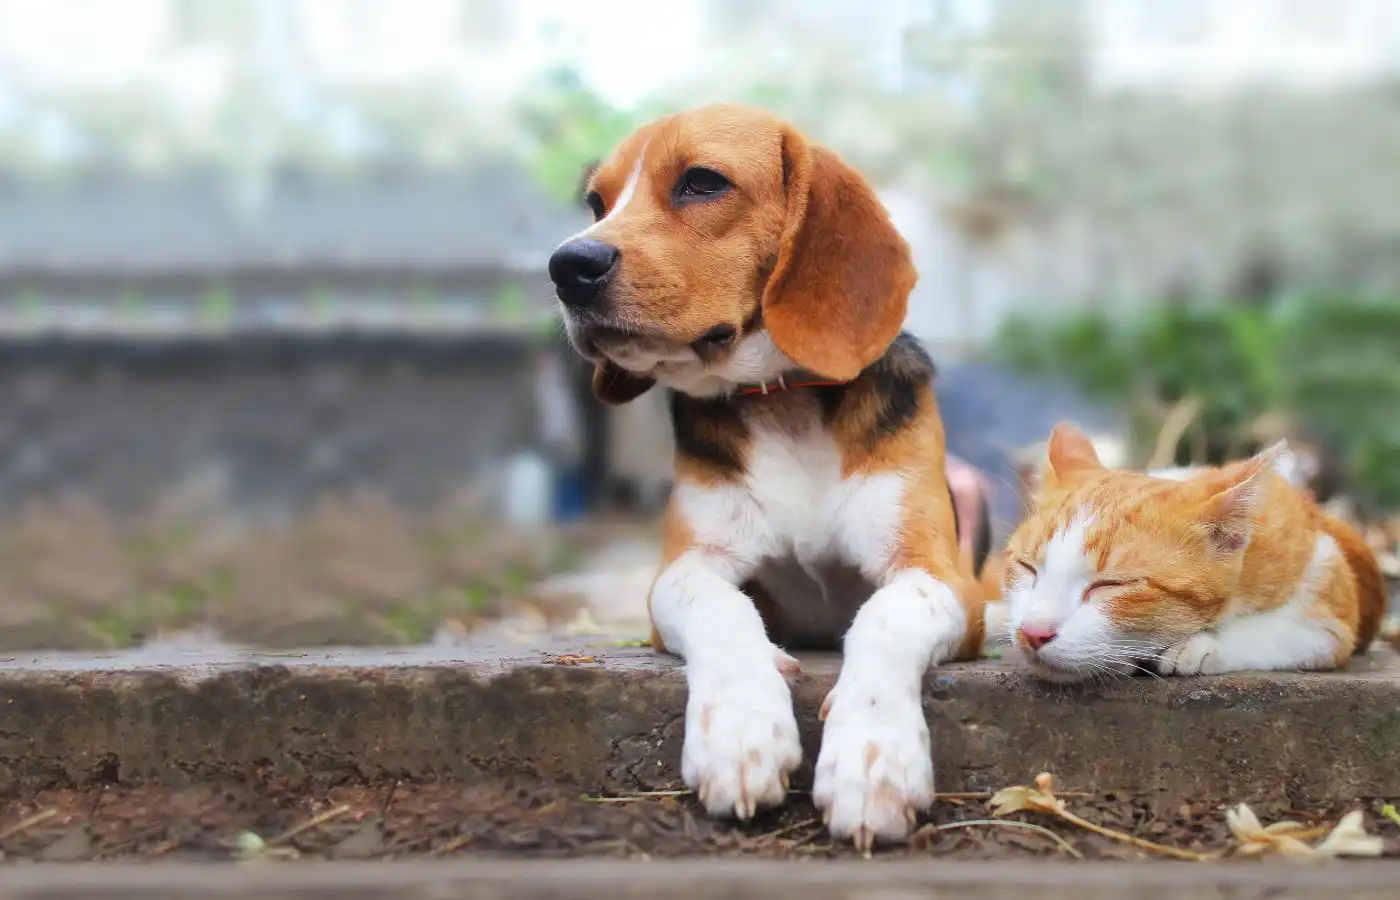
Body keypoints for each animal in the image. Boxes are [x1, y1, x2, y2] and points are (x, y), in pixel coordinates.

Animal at [546, 105, 985, 851]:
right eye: (596, 204)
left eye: (701, 181)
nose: (566, 265)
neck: (781, 400)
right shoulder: (684, 570)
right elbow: (722, 609)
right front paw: (740, 730)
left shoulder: (942, 576)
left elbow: (886, 616)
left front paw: (872, 757)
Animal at [1002, 425, 1383, 680]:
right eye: (1026, 567)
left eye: (1110, 585)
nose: (1033, 632)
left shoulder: (1328, 588)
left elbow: (1287, 632)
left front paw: (1199, 645)